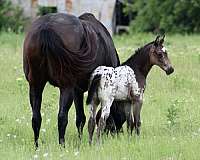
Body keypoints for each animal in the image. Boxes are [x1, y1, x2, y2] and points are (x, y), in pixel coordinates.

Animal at [23, 13, 120, 148]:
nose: (118, 134)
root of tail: (46, 27)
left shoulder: (77, 91)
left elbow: (80, 118)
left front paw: (80, 141)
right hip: (66, 87)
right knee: (62, 117)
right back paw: (62, 146)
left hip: (36, 84)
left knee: (36, 118)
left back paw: (37, 147)